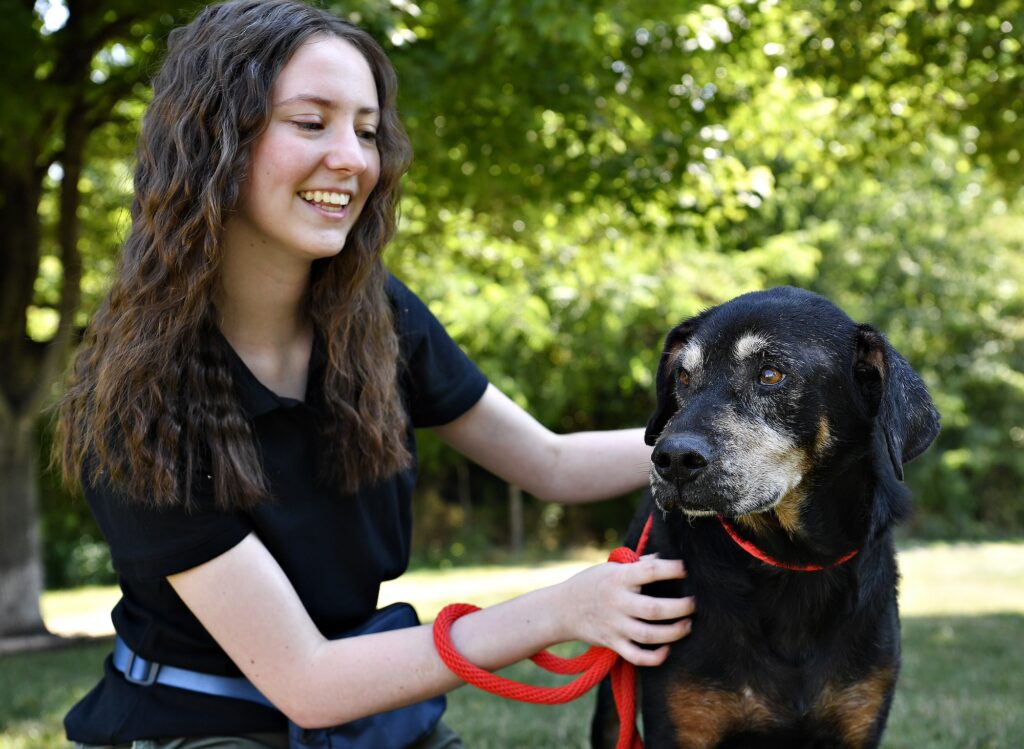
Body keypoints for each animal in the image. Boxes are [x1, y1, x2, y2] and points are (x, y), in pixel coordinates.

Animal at [598, 286, 937, 749]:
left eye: (771, 374)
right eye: (683, 377)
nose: (672, 459)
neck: (792, 561)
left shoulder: (859, 716)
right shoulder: (681, 724)